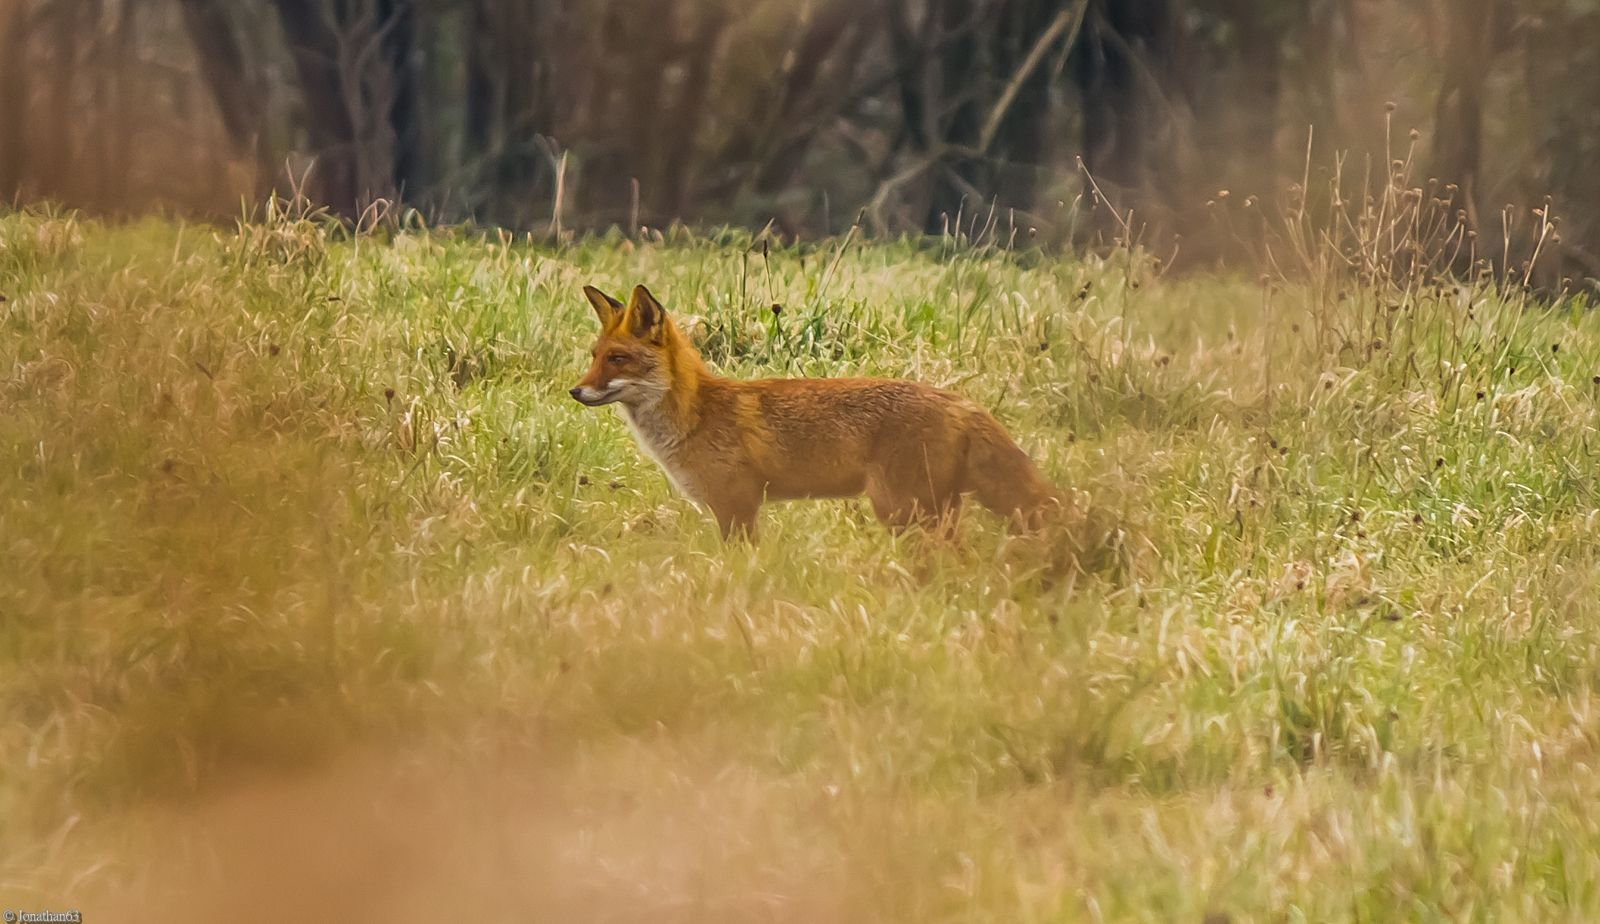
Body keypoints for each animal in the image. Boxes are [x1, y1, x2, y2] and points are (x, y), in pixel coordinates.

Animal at [572, 282, 1062, 540]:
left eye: (618, 359)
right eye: (595, 355)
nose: (575, 391)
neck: (697, 416)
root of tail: (961, 400)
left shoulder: (737, 506)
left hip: (902, 512)